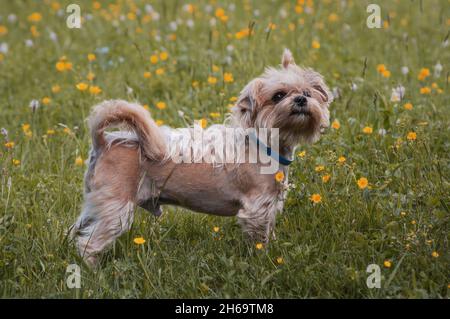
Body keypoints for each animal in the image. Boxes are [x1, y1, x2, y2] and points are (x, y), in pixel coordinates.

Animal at [70, 49, 330, 264]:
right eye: (278, 96)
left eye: (307, 92)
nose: (301, 99)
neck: (264, 143)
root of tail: (104, 141)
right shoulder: (257, 209)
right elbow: (260, 239)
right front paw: (264, 260)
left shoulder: (269, 207)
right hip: (116, 209)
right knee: (88, 244)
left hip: (96, 205)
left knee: (76, 230)